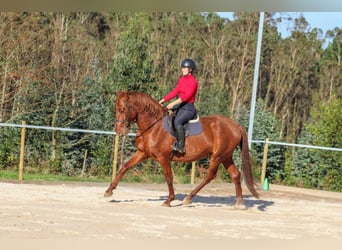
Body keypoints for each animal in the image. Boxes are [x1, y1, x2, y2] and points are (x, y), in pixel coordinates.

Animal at [104, 91, 260, 208]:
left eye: (122, 109)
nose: (119, 131)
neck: (154, 126)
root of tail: (235, 125)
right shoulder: (142, 153)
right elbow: (125, 167)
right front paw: (108, 191)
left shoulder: (163, 158)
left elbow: (168, 177)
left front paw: (169, 200)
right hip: (226, 157)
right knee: (235, 174)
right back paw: (239, 203)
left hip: (217, 156)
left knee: (210, 176)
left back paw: (189, 198)